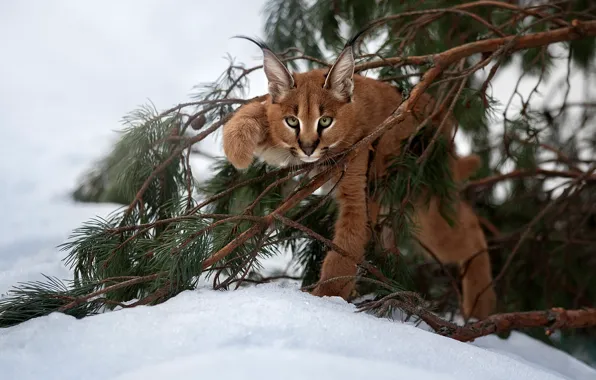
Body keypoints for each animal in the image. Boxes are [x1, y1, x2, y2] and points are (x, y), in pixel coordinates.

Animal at [221, 35, 496, 318]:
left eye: (325, 121)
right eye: (292, 121)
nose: (308, 147)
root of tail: (440, 112)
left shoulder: (355, 192)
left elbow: (345, 247)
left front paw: (324, 300)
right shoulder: (286, 145)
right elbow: (253, 111)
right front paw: (238, 151)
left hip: (422, 198)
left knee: (470, 229)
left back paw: (481, 308)